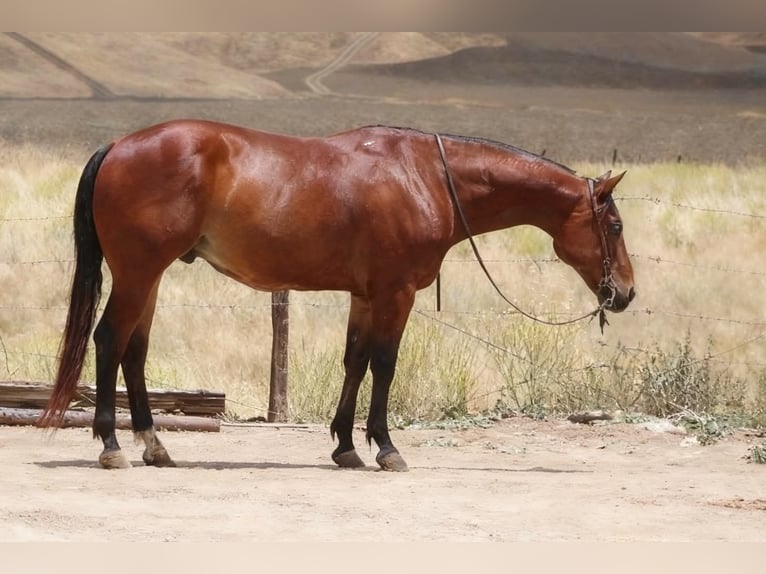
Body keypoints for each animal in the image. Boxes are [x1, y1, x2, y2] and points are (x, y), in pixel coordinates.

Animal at [39, 119, 635, 472]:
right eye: (616, 226)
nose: (625, 293)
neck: (426, 177)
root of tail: (119, 146)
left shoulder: (366, 296)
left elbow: (355, 362)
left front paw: (346, 446)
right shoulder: (396, 294)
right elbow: (385, 365)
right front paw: (386, 448)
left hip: (149, 277)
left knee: (134, 351)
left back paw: (155, 445)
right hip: (138, 273)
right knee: (109, 341)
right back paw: (113, 446)